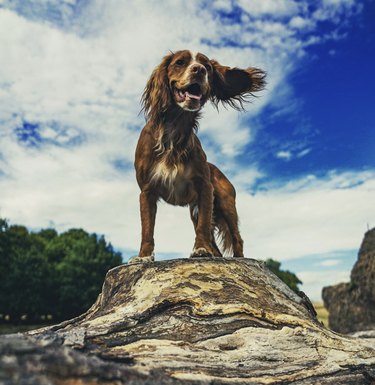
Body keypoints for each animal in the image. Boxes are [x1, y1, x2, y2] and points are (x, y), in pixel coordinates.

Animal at [131, 49, 266, 262]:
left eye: (208, 67)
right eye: (180, 62)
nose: (199, 70)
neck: (174, 130)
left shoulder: (205, 187)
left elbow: (203, 227)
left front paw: (201, 249)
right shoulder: (147, 191)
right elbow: (147, 229)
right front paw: (144, 256)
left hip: (226, 204)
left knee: (237, 238)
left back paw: (239, 258)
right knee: (217, 247)